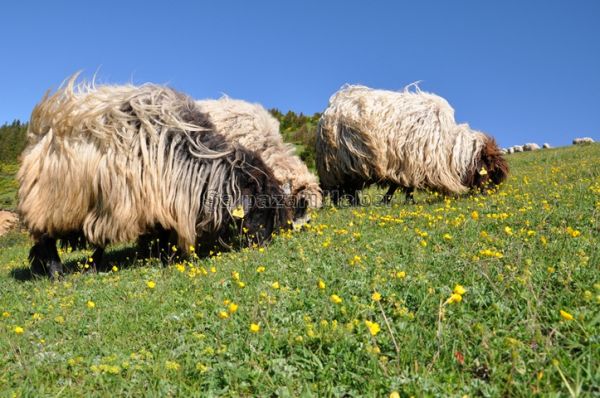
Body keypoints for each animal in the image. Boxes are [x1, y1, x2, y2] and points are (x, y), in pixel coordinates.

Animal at [17, 76, 292, 278]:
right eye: (261, 208)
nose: (266, 243)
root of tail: (37, 135)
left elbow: (161, 232)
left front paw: (161, 256)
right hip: (52, 202)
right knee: (48, 239)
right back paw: (59, 272)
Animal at [316, 84, 508, 205]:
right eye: (491, 171)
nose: (491, 193)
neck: (449, 150)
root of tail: (332, 106)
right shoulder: (412, 162)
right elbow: (404, 186)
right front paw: (394, 200)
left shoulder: (407, 164)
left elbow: (402, 186)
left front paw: (393, 200)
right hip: (338, 165)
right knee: (341, 189)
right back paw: (346, 205)